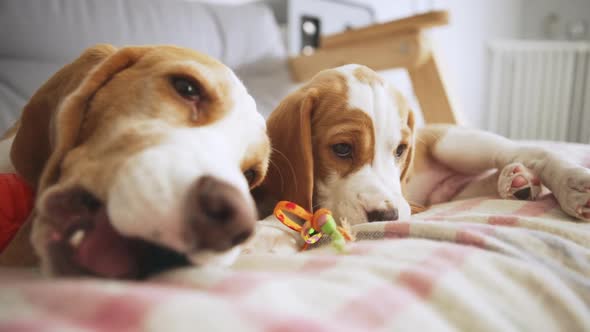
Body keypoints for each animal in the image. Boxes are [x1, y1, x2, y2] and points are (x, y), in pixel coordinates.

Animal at [249, 63, 590, 252]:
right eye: (342, 148)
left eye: (400, 150)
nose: (387, 216)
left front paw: (269, 231)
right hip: (452, 189)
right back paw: (516, 182)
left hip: (456, 144)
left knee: (523, 151)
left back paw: (569, 184)